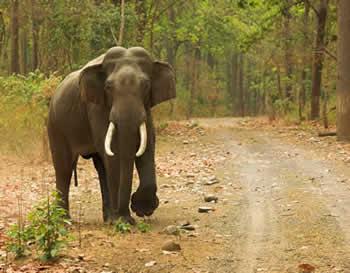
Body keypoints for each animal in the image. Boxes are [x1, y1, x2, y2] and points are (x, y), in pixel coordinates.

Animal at [47, 46, 175, 223]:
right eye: (108, 87)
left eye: (146, 85)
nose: (127, 215)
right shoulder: (96, 106)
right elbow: (114, 152)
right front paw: (123, 220)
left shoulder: (146, 107)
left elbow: (148, 145)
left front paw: (141, 210)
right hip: (56, 126)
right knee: (63, 168)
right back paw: (64, 221)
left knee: (101, 167)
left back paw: (107, 217)